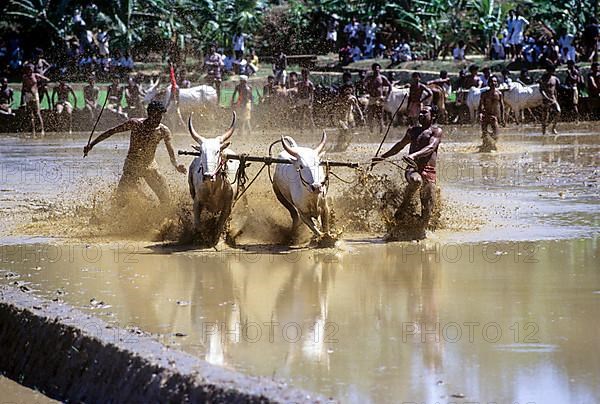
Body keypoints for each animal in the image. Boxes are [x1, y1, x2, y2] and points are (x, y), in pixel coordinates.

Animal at [188, 111, 239, 246]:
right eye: (201, 152)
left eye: (217, 151)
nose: (207, 175)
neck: (214, 187)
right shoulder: (197, 202)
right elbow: (198, 225)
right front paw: (204, 236)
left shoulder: (228, 205)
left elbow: (220, 224)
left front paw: (217, 239)